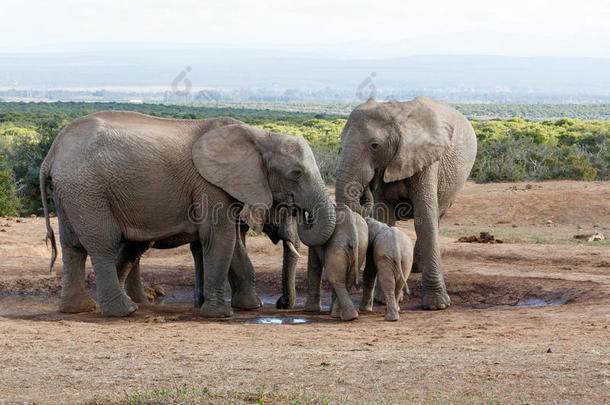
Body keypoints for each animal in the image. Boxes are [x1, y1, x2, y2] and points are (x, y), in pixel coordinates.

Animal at [39, 112, 332, 318]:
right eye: (296, 173)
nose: (283, 305)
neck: (260, 135)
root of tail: (50, 156)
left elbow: (230, 243)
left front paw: (250, 307)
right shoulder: (209, 185)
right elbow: (220, 237)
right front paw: (221, 314)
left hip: (72, 193)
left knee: (73, 246)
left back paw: (79, 309)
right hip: (86, 190)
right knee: (103, 243)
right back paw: (125, 311)